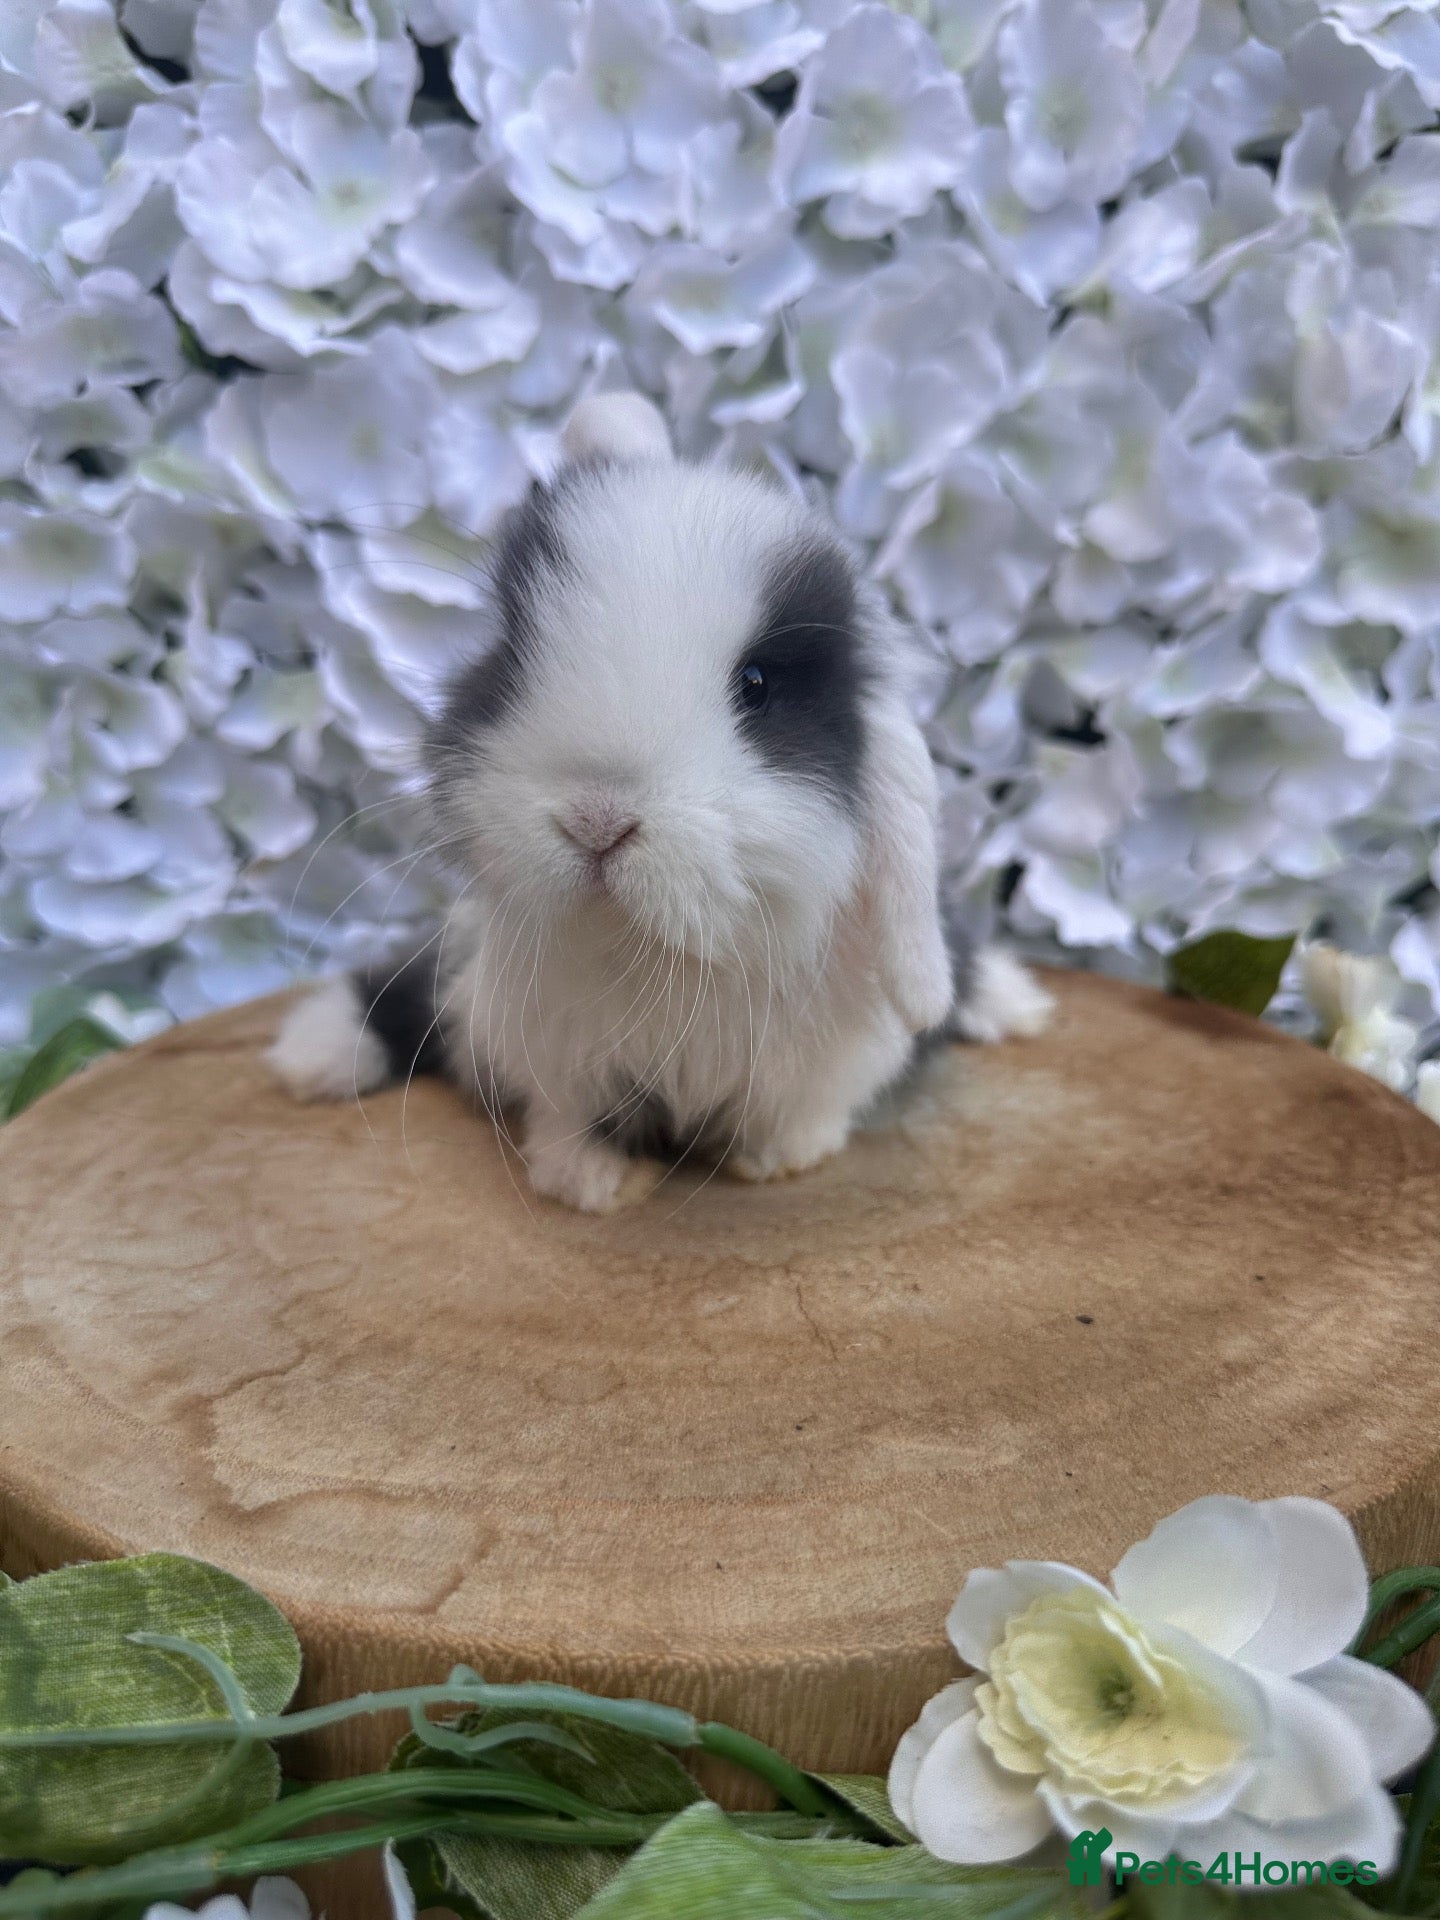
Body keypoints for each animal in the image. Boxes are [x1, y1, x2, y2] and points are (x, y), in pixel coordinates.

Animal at [269, 393, 1052, 1211]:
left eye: (756, 686)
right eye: (513, 653)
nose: (596, 821)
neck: (660, 956)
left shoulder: (825, 1062)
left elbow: (804, 1111)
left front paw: (779, 1159)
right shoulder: (556, 1055)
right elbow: (566, 1119)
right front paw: (589, 1182)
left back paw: (1014, 1003)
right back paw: (312, 1053)